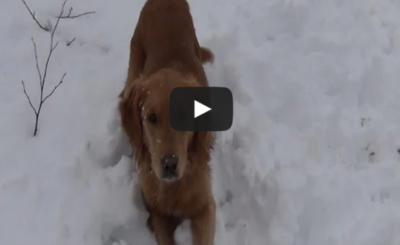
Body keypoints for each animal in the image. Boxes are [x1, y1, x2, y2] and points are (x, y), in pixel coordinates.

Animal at [117, 0, 217, 243]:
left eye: (184, 116)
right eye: (151, 118)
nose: (169, 164)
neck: (174, 188)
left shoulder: (205, 207)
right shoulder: (157, 214)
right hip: (134, 64)